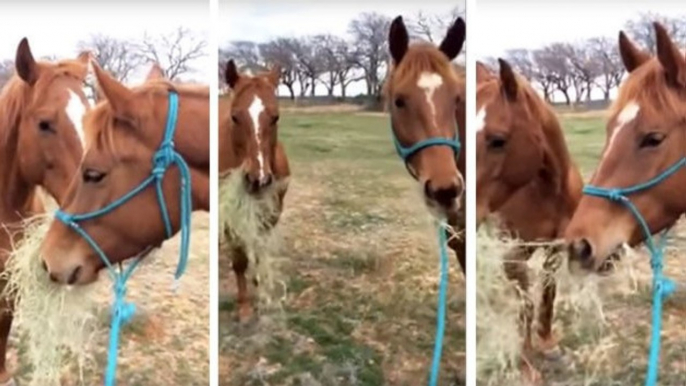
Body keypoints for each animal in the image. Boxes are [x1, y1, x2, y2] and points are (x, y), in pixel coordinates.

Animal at [220, 60, 290, 324]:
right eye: (235, 117)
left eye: (275, 117)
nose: (258, 179)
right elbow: (239, 261)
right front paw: (244, 307)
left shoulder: (271, 213)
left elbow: (260, 252)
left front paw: (260, 288)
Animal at [478, 58, 584, 382]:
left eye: (497, 140)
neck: (547, 191)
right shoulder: (513, 252)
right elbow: (524, 301)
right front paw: (525, 362)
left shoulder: (557, 246)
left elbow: (547, 294)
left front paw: (548, 345)